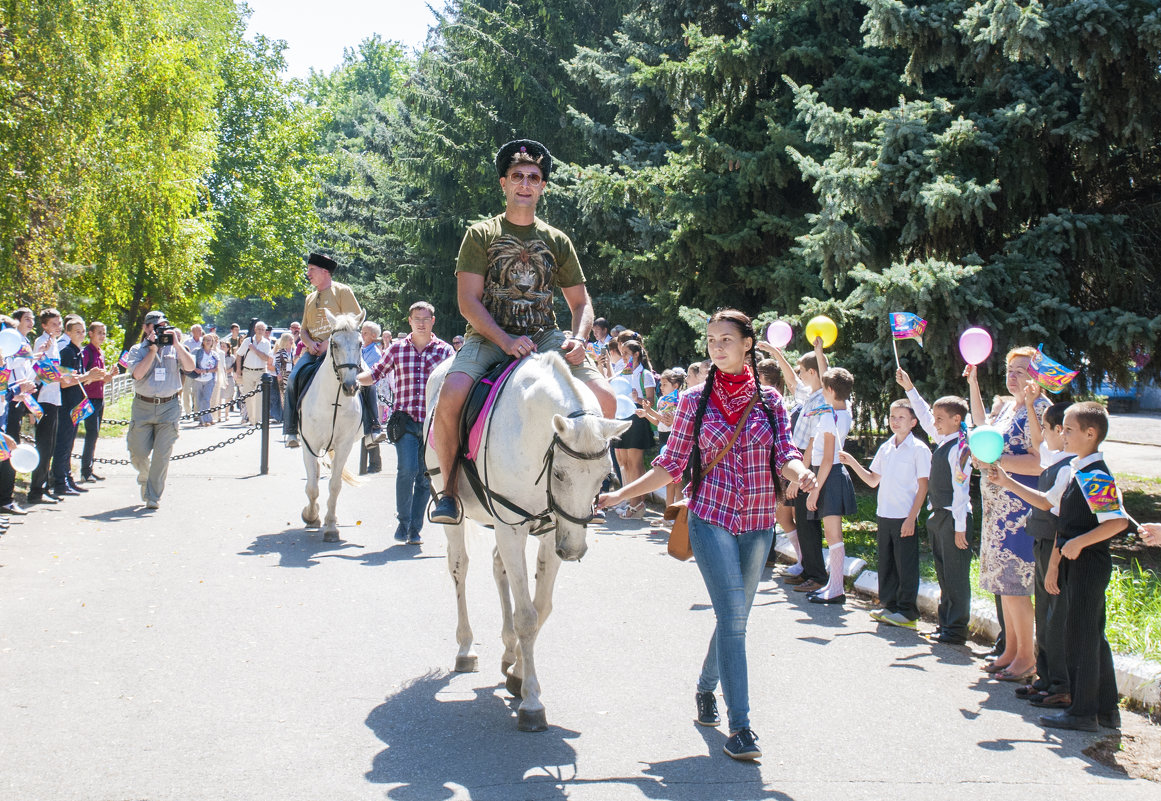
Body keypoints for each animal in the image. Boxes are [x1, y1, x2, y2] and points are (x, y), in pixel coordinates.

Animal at [299, 308, 362, 538]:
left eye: (360, 343)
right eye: (334, 344)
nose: (351, 386)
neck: (333, 401)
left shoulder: (344, 445)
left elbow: (335, 485)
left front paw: (331, 526)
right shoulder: (310, 444)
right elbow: (312, 487)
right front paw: (311, 516)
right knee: (315, 475)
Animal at [424, 352, 631, 729]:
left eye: (605, 478)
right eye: (560, 474)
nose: (574, 550)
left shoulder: (553, 530)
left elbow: (541, 607)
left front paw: (518, 674)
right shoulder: (512, 528)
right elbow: (526, 616)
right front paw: (532, 701)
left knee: (498, 567)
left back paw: (507, 652)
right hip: (459, 513)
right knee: (460, 567)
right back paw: (466, 648)